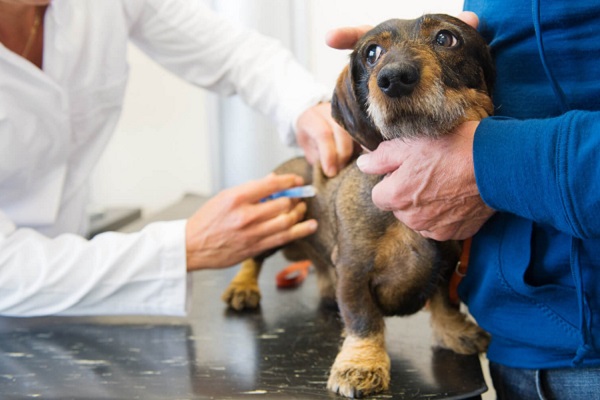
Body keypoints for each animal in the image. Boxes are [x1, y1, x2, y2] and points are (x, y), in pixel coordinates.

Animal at [223, 14, 494, 398]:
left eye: (446, 38)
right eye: (372, 53)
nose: (394, 79)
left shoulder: (447, 264)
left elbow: (444, 302)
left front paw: (454, 331)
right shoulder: (353, 269)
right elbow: (364, 320)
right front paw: (361, 364)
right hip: (279, 218)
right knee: (254, 257)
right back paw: (243, 287)